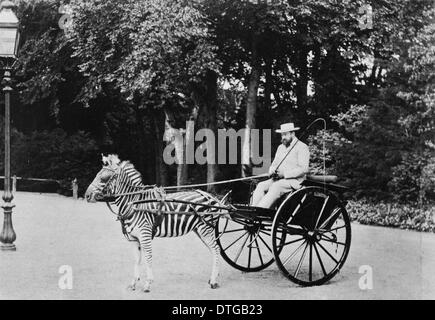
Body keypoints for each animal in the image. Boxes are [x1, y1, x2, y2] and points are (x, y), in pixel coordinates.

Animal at [85, 154, 228, 292]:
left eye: (104, 178)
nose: (86, 196)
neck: (134, 204)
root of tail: (209, 196)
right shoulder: (133, 239)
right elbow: (137, 260)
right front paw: (133, 283)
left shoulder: (145, 235)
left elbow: (148, 258)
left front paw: (148, 284)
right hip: (200, 230)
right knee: (213, 250)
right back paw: (213, 277)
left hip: (205, 228)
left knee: (216, 249)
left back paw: (214, 281)